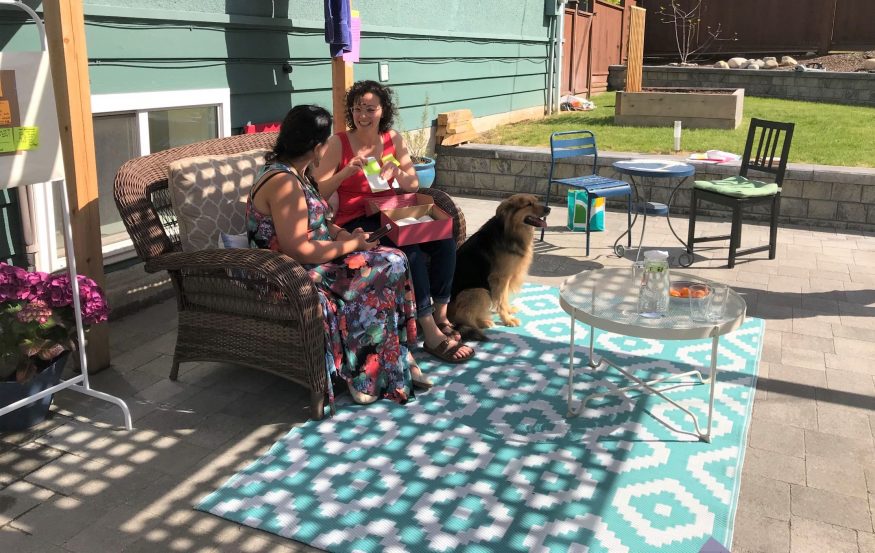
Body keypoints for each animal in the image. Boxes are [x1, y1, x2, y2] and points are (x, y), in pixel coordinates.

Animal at [448, 194, 552, 340]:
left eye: (536, 201)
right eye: (528, 204)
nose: (549, 209)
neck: (511, 230)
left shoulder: (506, 278)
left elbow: (505, 297)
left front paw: (509, 310)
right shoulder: (500, 278)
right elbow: (501, 301)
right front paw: (507, 320)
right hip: (479, 291)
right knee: (461, 317)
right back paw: (484, 322)